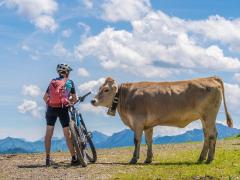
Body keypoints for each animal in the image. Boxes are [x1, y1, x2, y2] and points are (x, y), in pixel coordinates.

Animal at [91, 76, 233, 164]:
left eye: (106, 89)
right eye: (99, 88)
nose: (93, 100)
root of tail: (210, 78)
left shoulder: (137, 122)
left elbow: (136, 140)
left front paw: (134, 159)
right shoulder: (148, 125)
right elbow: (149, 140)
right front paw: (148, 159)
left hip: (209, 116)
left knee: (212, 135)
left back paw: (209, 159)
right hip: (204, 118)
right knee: (207, 135)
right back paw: (201, 157)